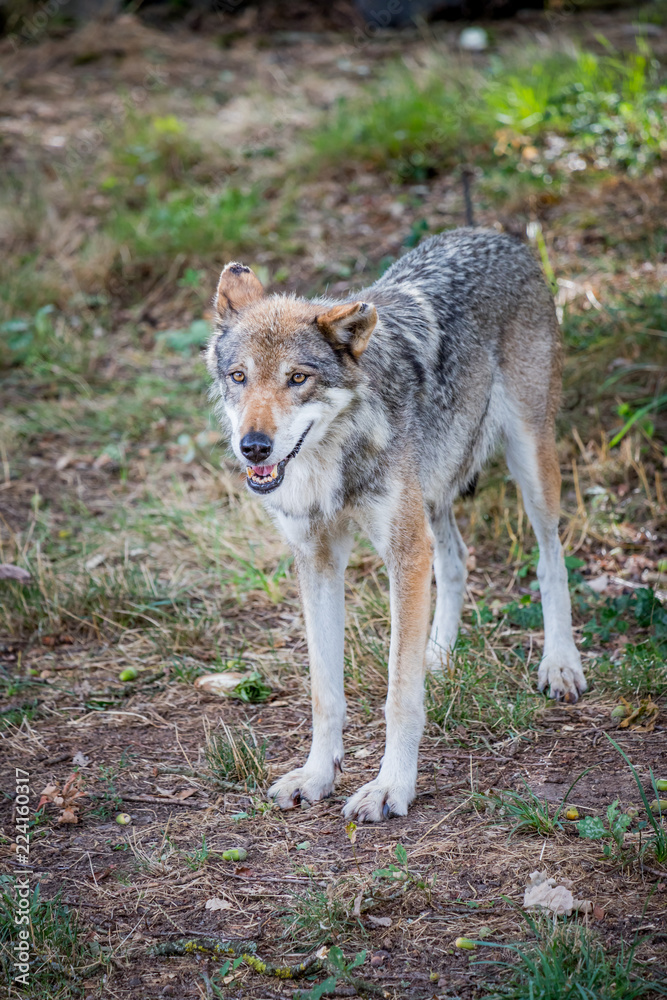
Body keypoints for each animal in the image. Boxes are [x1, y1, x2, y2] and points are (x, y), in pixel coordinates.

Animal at [206, 230, 588, 824]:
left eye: (298, 378)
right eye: (238, 377)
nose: (254, 448)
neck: (334, 457)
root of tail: (498, 237)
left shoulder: (403, 551)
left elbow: (399, 694)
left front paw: (391, 787)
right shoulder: (319, 560)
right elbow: (325, 691)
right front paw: (317, 776)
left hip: (530, 462)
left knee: (550, 559)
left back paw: (560, 664)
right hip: (433, 493)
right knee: (456, 562)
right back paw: (438, 654)